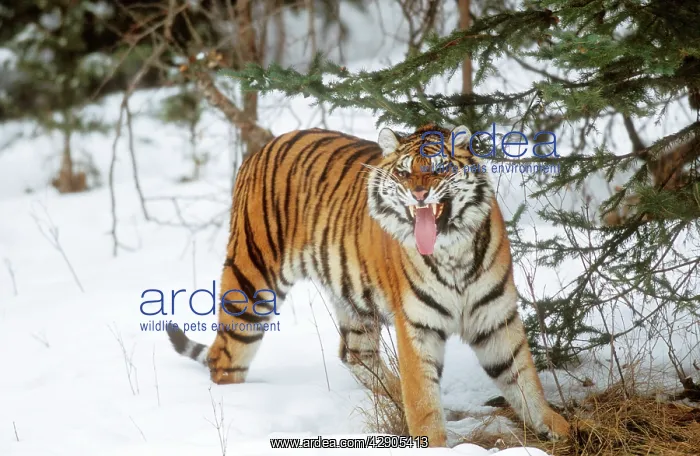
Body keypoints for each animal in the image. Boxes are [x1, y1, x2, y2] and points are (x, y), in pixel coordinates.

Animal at [166, 124, 571, 446]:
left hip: (352, 299)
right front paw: (433, 442)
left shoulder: (495, 317)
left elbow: (523, 378)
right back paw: (239, 409)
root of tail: (261, 148)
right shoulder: (417, 326)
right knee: (226, 358)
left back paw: (393, 395)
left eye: (438, 168)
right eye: (404, 173)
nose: (419, 195)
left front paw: (558, 427)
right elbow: (423, 398)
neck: (451, 251)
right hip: (251, 282)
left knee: (355, 353)